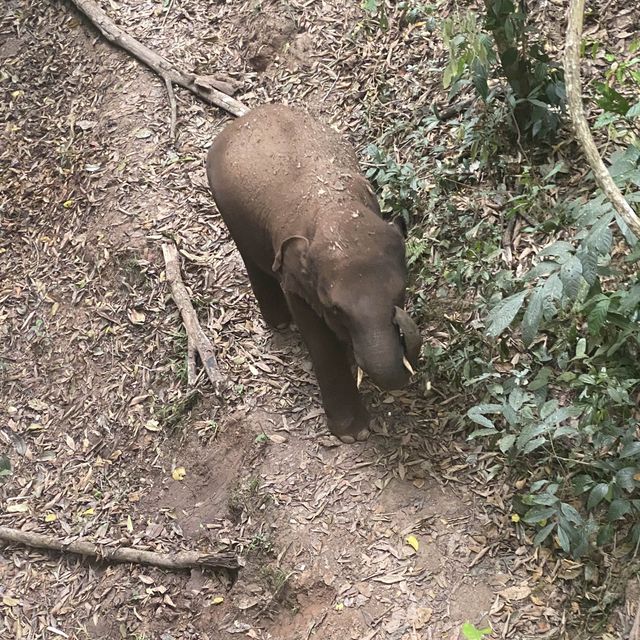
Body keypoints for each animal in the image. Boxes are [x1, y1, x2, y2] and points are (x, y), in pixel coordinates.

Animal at [208, 105, 422, 444]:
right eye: (335, 309)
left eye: (401, 292)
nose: (400, 321)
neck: (334, 208)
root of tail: (240, 121)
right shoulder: (294, 279)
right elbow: (318, 339)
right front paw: (353, 434)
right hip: (227, 208)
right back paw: (281, 323)